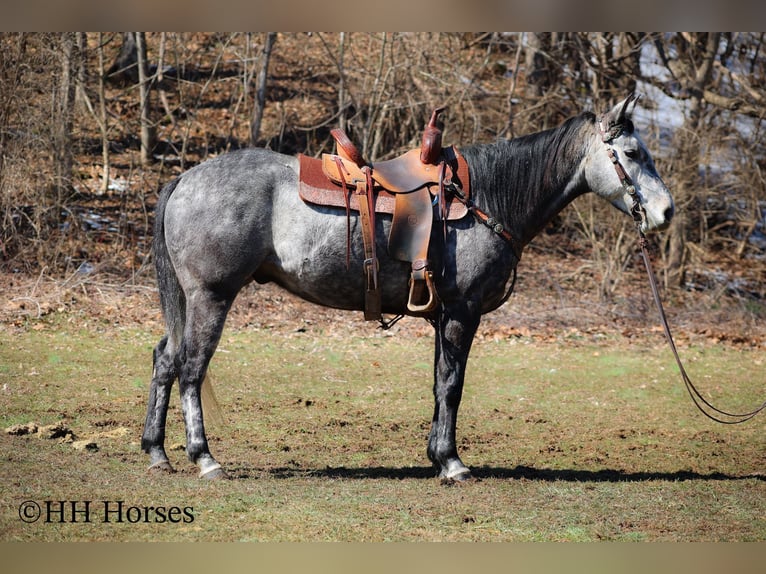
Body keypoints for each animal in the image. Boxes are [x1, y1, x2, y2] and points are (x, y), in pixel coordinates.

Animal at [141, 94, 674, 480]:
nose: (666, 212)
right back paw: (204, 458)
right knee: (190, 368)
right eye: (631, 154)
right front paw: (452, 463)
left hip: (190, 301)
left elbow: (440, 384)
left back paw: (156, 452)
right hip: (211, 297)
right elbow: (453, 385)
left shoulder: (445, 316)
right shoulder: (462, 312)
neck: (485, 196)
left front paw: (437, 455)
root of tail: (186, 178)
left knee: (165, 360)